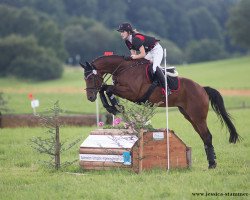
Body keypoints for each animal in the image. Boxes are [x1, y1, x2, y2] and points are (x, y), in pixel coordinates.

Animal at [80, 54, 240, 169]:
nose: (90, 97)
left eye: (91, 77)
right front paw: (114, 107)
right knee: (204, 136)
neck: (123, 68)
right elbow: (105, 88)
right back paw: (211, 162)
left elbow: (107, 88)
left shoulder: (132, 93)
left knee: (207, 136)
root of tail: (202, 89)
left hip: (198, 116)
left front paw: (113, 106)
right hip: (189, 116)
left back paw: (212, 164)